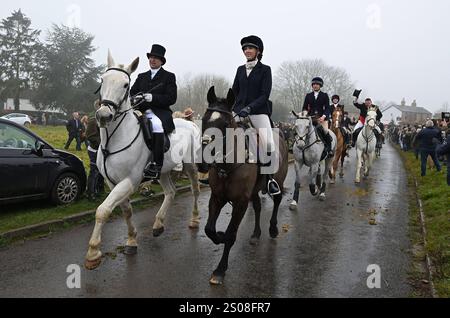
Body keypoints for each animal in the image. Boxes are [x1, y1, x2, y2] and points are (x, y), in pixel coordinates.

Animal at [85, 51, 201, 268]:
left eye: (125, 85)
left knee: (195, 190)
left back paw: (194, 220)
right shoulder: (113, 182)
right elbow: (127, 211)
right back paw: (158, 224)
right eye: (103, 80)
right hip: (163, 170)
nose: (103, 115)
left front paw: (93, 252)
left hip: (190, 165)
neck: (114, 139)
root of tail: (191, 123)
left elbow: (103, 210)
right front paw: (131, 240)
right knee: (170, 192)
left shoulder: (130, 180)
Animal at [200, 87, 290, 286]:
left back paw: (273, 229)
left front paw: (220, 270)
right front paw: (218, 236)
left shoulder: (240, 202)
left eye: (226, 123)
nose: (202, 163)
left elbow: (231, 234)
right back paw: (256, 234)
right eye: (203, 120)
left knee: (277, 200)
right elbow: (209, 229)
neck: (228, 165)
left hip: (278, 181)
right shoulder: (217, 197)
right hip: (254, 191)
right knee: (257, 207)